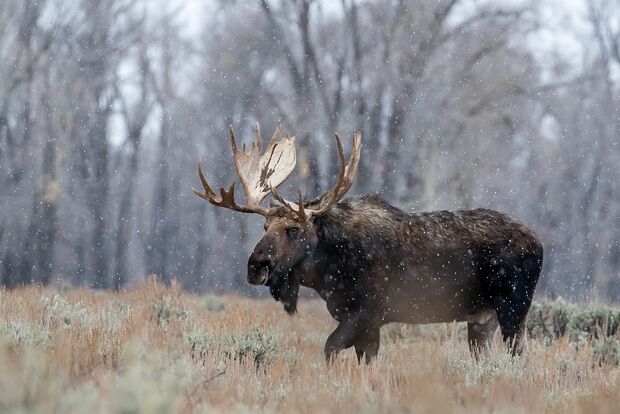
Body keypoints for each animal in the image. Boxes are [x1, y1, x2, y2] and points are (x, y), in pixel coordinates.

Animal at [194, 123, 544, 362]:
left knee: (519, 355)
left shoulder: (366, 313)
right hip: (482, 319)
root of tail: (539, 243)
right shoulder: (363, 322)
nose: (256, 267)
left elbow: (329, 348)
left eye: (293, 228)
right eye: (265, 225)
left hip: (514, 308)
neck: (327, 272)